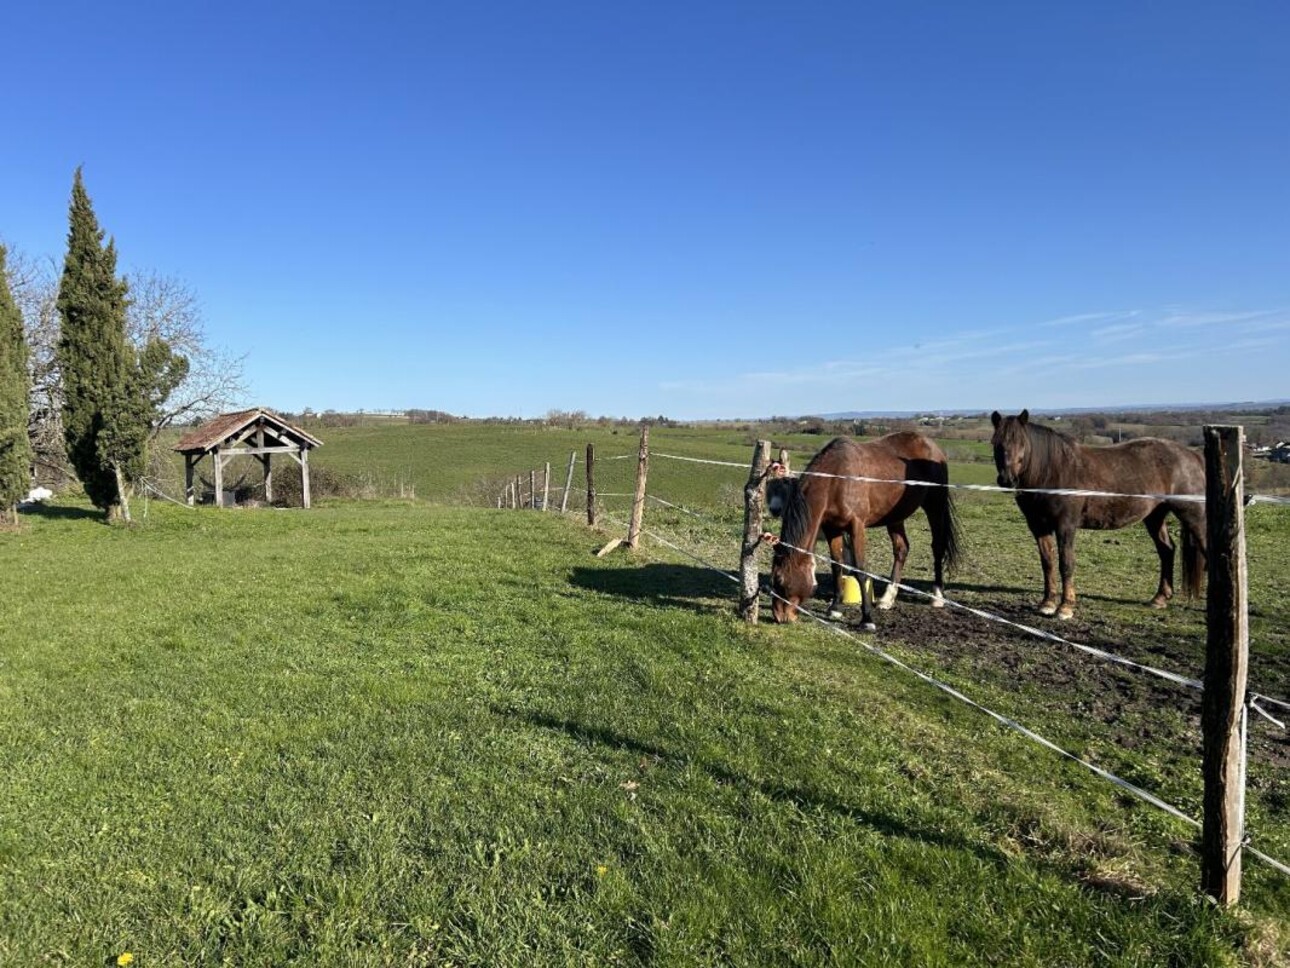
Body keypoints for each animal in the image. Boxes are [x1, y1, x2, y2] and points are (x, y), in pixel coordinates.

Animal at [768, 431, 964, 629]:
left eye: (780, 580)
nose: (779, 617)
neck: (836, 480)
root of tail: (931, 445)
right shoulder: (832, 528)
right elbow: (837, 566)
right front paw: (835, 607)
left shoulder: (857, 527)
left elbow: (860, 570)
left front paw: (867, 619)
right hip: (895, 517)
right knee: (901, 549)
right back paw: (887, 599)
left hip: (935, 506)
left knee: (937, 546)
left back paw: (937, 596)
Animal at [985, 410, 1207, 622]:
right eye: (996, 443)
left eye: (1022, 443)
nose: (1007, 480)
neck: (1053, 470)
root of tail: (1193, 456)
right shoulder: (1038, 526)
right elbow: (1047, 562)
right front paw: (1047, 604)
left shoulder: (1065, 526)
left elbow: (1066, 563)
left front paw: (1065, 608)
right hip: (1155, 516)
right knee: (1167, 550)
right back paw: (1160, 598)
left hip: (1193, 516)